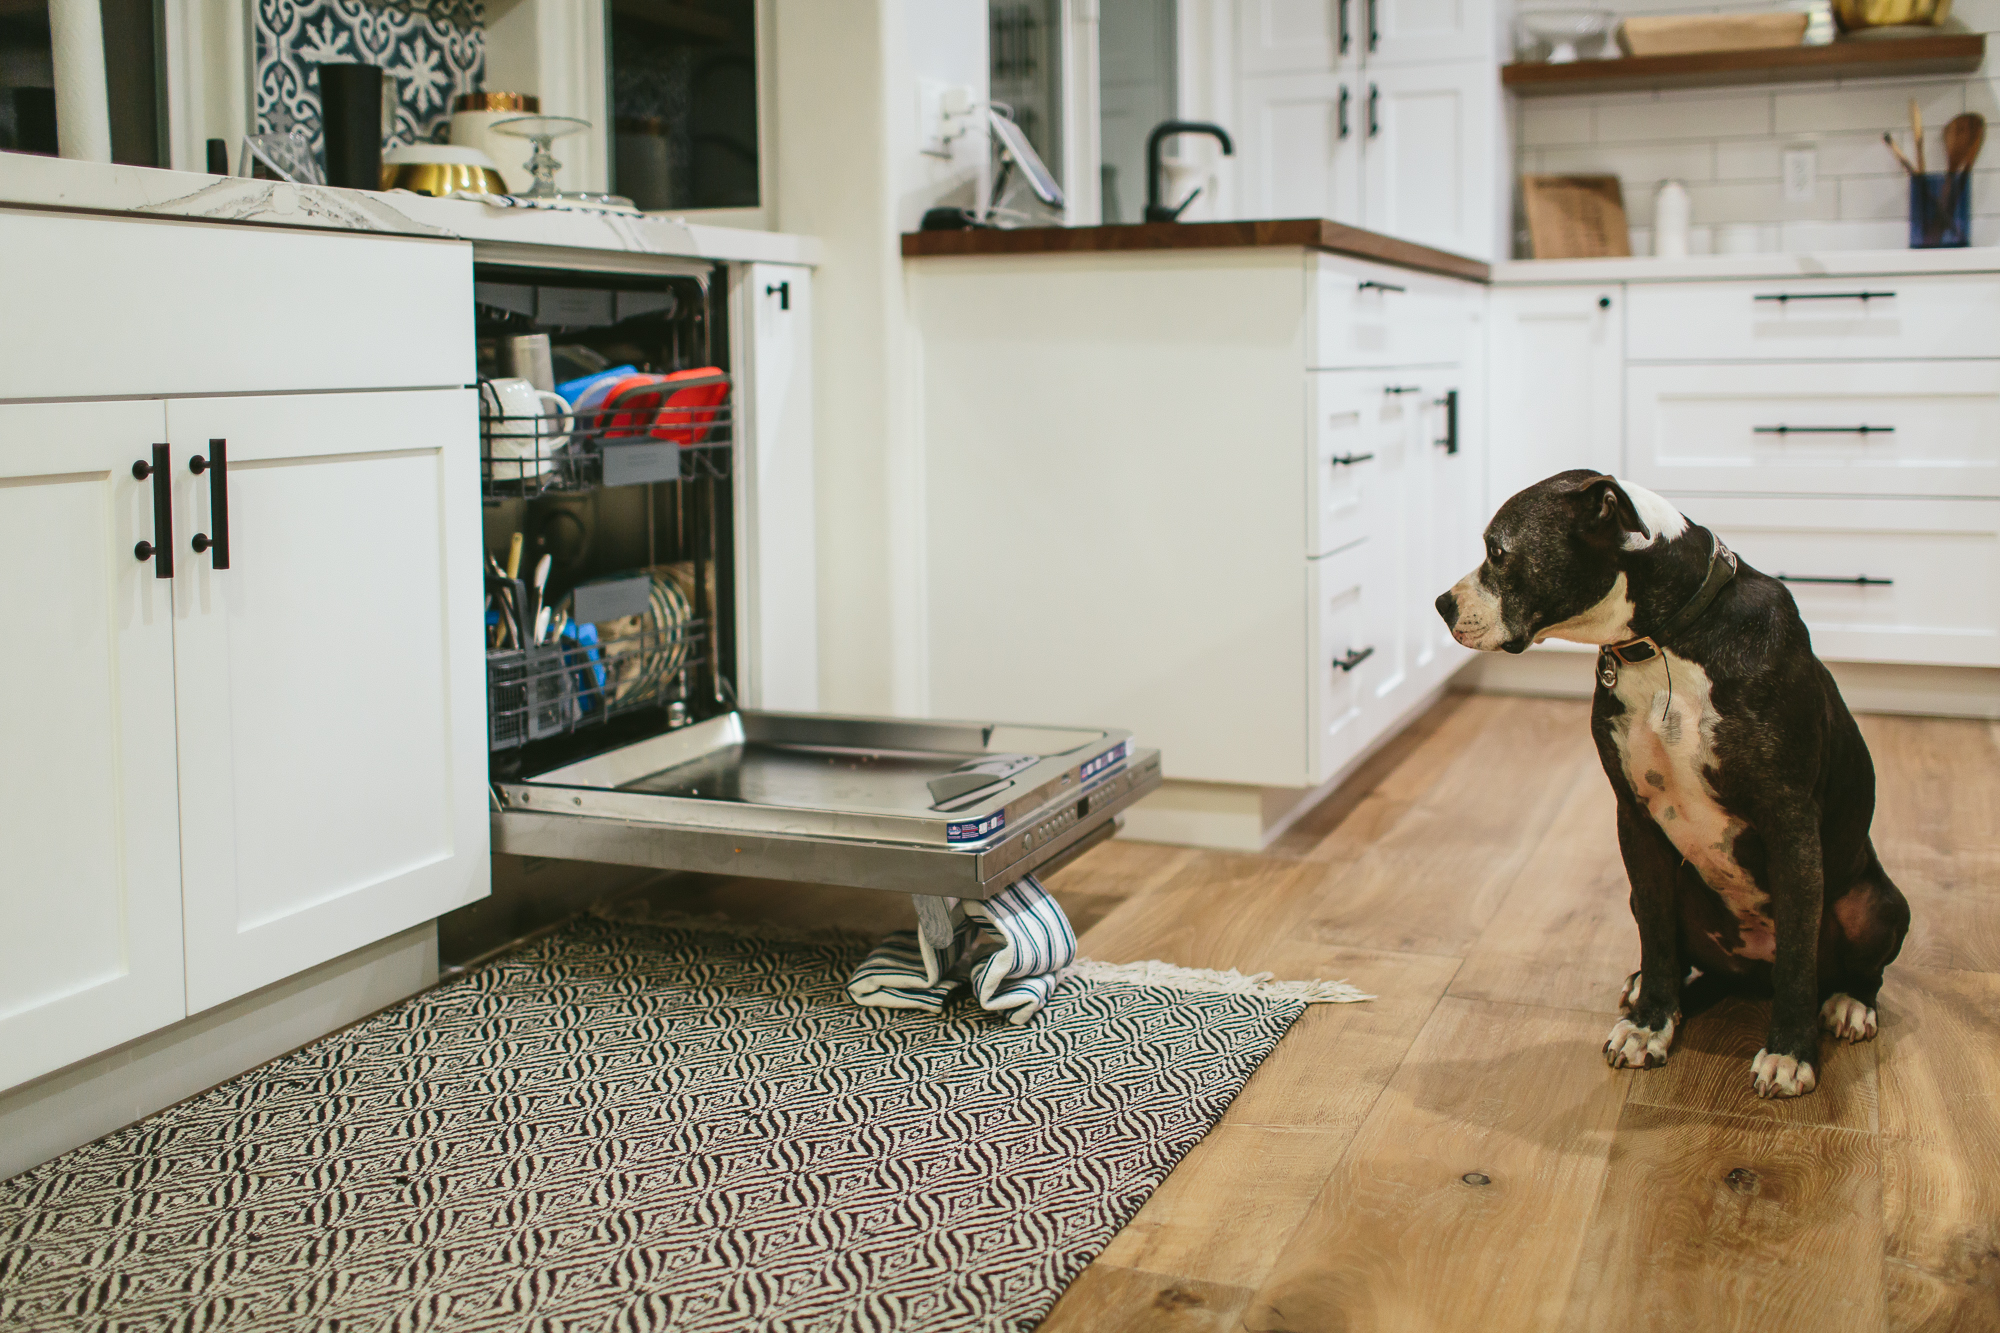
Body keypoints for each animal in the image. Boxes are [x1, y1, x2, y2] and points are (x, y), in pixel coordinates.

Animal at [1440, 472, 1904, 1096]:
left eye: (1497, 551)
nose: (1441, 604)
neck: (1666, 643)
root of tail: (1749, 970)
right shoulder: (1635, 821)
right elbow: (1659, 938)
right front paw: (1649, 1024)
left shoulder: (1790, 824)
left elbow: (1798, 957)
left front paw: (1789, 1052)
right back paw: (1652, 987)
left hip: (1875, 904)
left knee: (1854, 969)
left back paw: (1850, 1003)